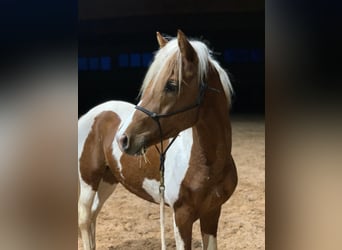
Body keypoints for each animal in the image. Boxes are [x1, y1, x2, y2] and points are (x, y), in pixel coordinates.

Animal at [78, 29, 238, 250]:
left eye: (171, 85)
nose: (123, 139)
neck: (206, 164)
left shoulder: (212, 213)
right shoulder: (181, 216)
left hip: (108, 179)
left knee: (94, 214)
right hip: (88, 180)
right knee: (85, 218)